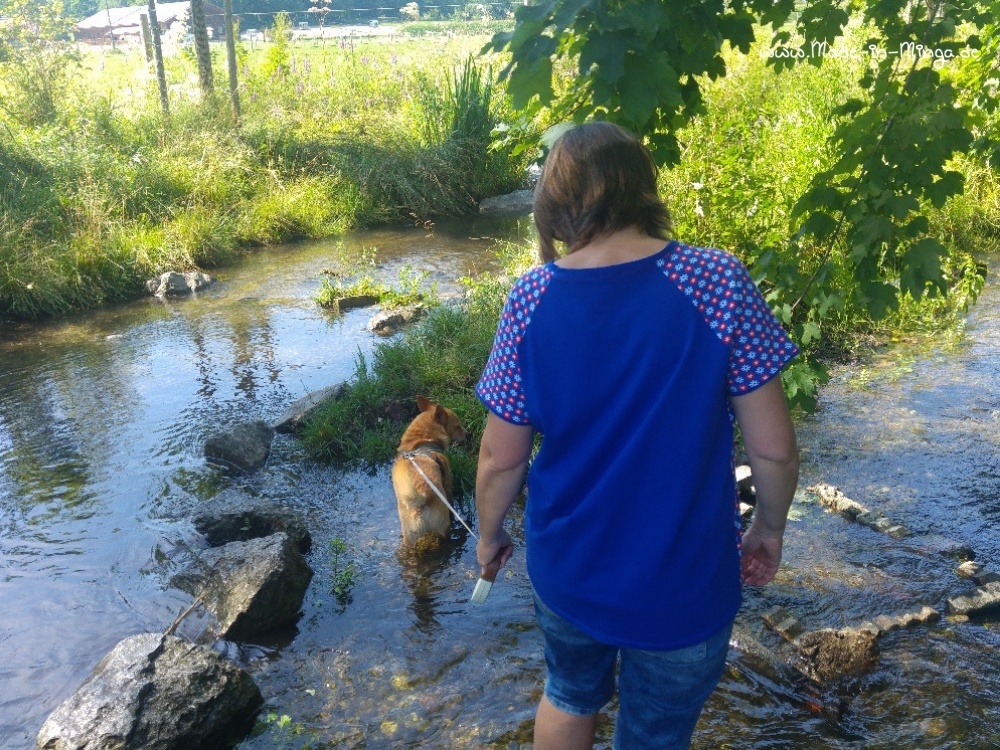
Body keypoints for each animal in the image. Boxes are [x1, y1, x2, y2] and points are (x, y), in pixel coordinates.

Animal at [390, 396, 468, 548]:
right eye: (457, 426)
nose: (468, 434)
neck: (421, 441)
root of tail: (418, 502)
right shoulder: (447, 483)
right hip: (442, 528)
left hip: (409, 537)